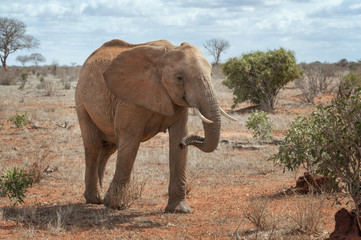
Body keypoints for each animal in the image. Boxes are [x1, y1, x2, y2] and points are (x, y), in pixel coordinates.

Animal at [74, 39, 235, 214]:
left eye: (211, 75)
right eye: (179, 78)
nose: (186, 143)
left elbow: (178, 137)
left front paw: (179, 210)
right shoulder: (130, 98)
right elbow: (130, 142)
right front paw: (115, 205)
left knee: (108, 149)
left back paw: (99, 197)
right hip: (82, 102)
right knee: (93, 145)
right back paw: (95, 199)